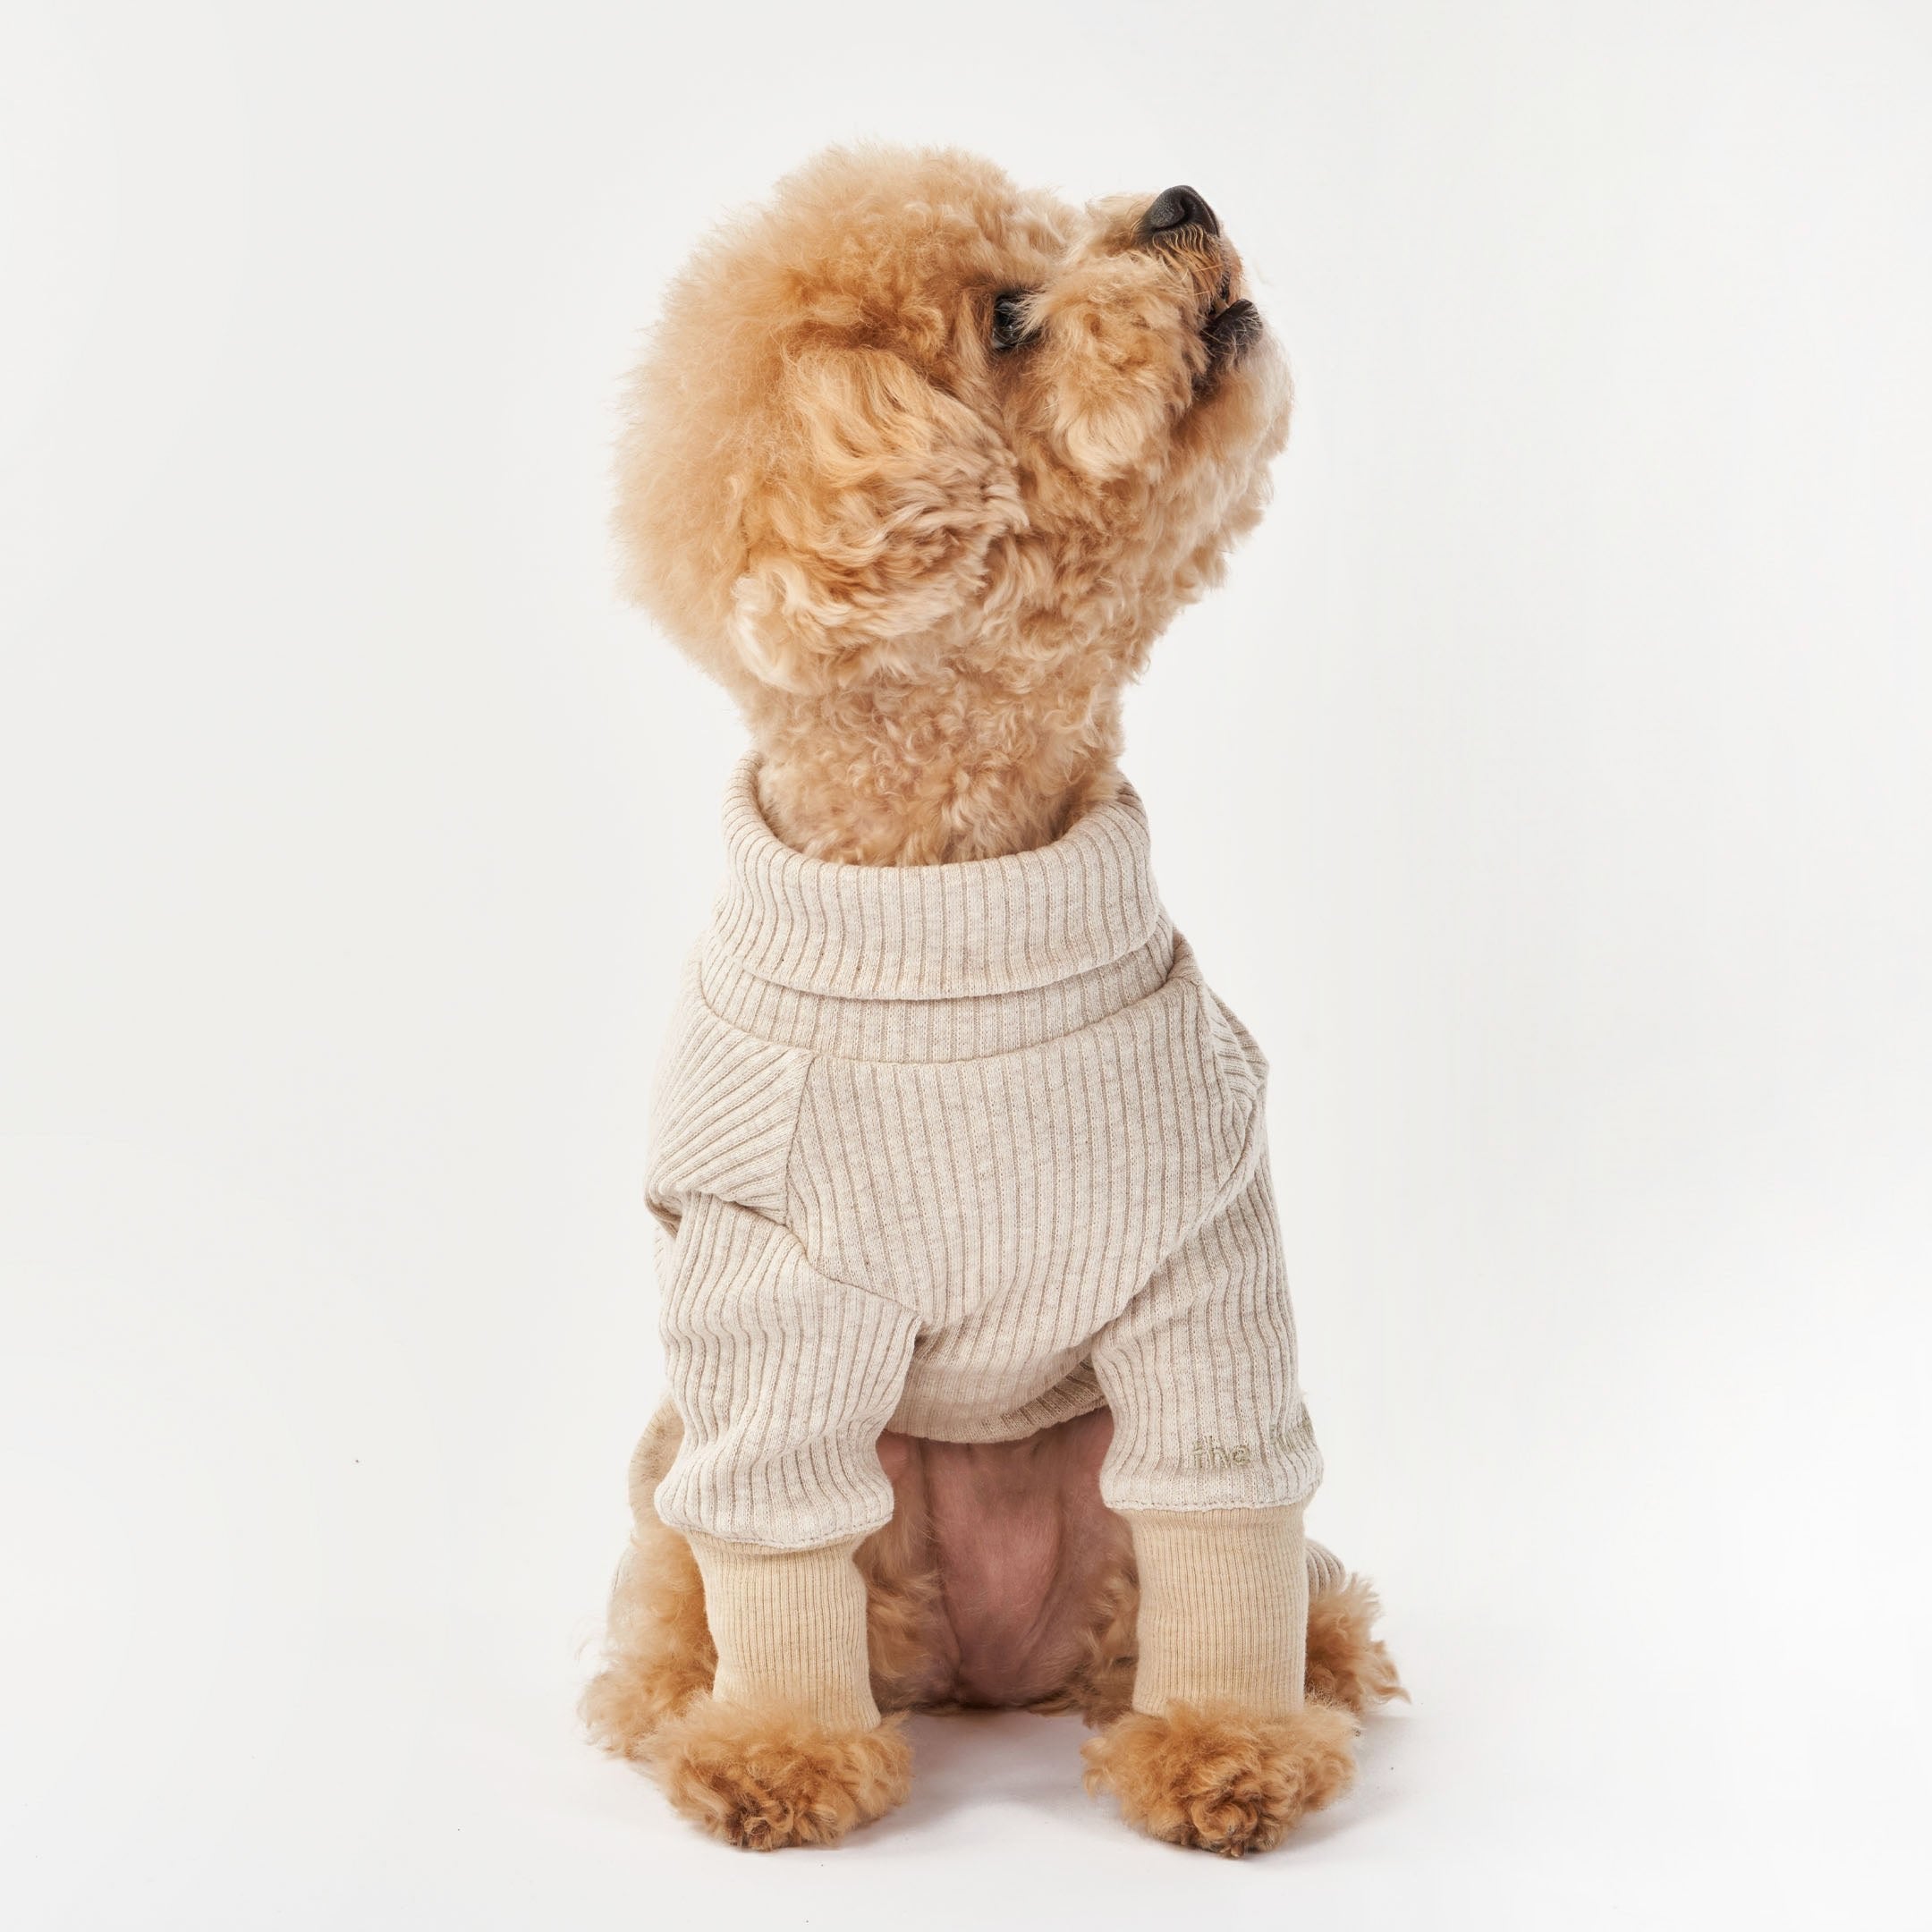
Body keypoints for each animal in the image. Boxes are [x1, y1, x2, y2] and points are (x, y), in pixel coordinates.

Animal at [580, 142, 1398, 1846]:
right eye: (1009, 317)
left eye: (1051, 233)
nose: (1179, 206)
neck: (948, 893)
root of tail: (992, 1678)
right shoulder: (767, 1290)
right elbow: (777, 1539)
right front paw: (780, 1755)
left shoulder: (1207, 1246)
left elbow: (1227, 1511)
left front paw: (1229, 1747)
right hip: (703, 1473)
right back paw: (684, 1702)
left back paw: (1314, 1669)